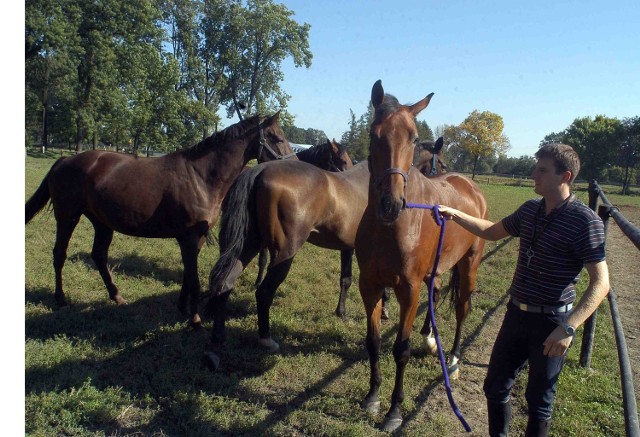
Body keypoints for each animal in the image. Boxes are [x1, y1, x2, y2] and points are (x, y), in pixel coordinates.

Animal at [25, 112, 296, 328]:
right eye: (277, 138)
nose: (294, 166)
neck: (200, 177)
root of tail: (65, 160)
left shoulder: (194, 239)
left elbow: (188, 274)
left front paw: (183, 308)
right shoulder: (189, 237)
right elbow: (194, 280)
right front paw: (195, 319)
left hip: (102, 223)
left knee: (99, 256)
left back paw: (117, 296)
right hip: (67, 217)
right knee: (59, 254)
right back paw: (61, 299)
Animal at [356, 80, 484, 430]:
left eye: (413, 138)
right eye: (374, 133)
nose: (391, 203)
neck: (390, 228)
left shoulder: (408, 290)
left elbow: (400, 349)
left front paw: (394, 411)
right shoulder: (370, 285)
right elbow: (373, 342)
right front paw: (372, 398)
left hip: (469, 266)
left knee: (462, 309)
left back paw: (452, 359)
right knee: (437, 294)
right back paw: (430, 340)